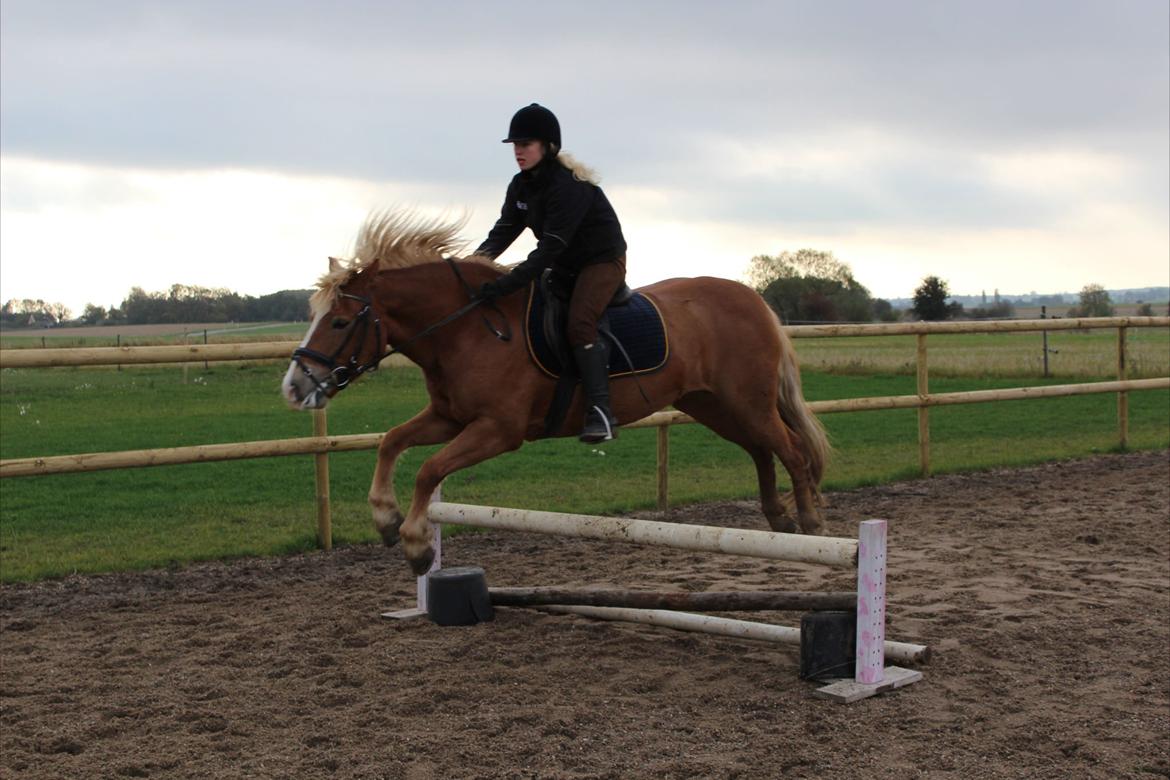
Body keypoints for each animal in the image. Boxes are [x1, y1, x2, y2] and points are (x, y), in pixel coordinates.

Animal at [282, 210, 830, 575]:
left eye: (339, 321)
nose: (294, 386)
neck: (467, 329)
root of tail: (755, 300)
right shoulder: (450, 417)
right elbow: (392, 441)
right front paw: (385, 518)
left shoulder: (498, 430)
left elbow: (429, 469)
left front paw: (417, 544)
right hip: (715, 406)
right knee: (763, 450)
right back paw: (778, 518)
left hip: (746, 403)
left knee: (792, 450)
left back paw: (809, 522)